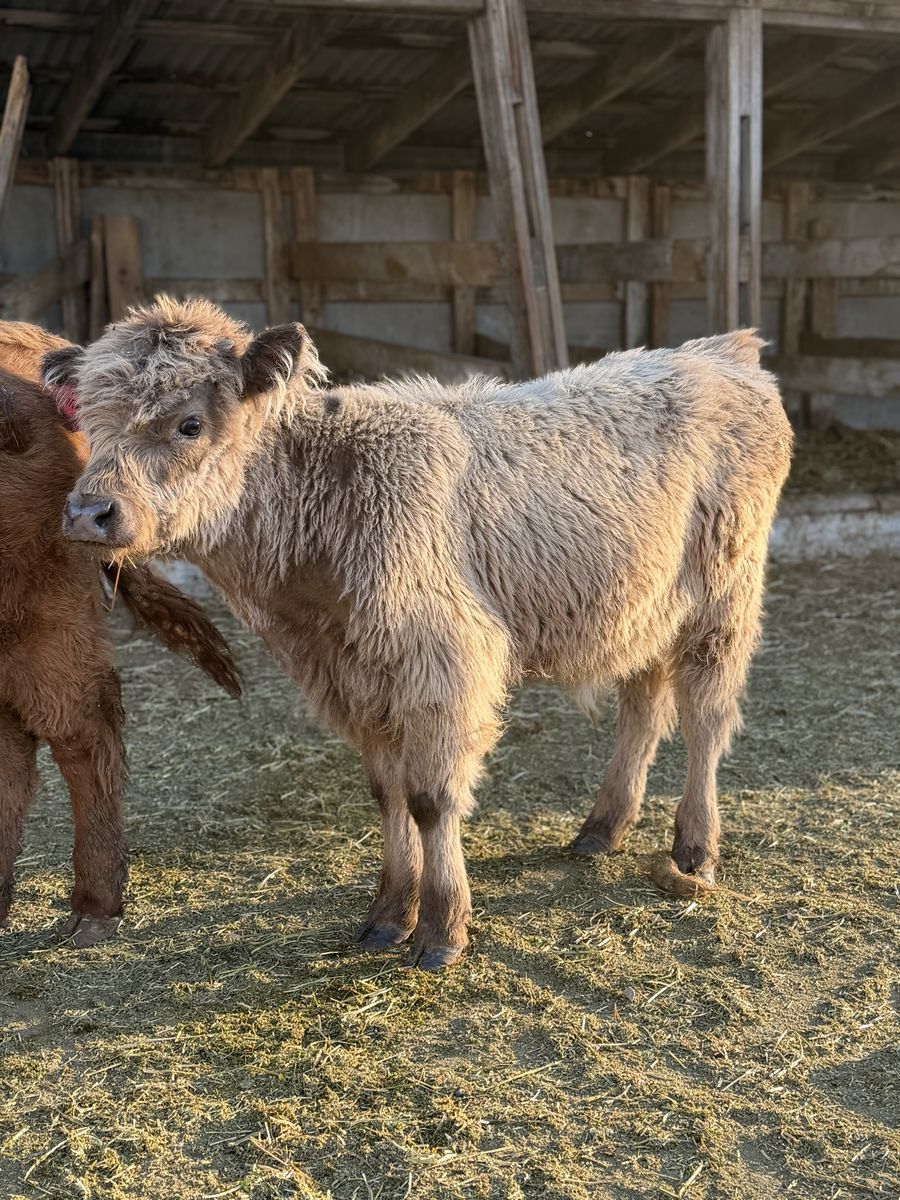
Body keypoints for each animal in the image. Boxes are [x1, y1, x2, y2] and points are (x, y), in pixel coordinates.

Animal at [47, 297, 793, 968]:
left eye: (190, 423)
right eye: (88, 421)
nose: (88, 512)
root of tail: (721, 352)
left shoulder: (441, 667)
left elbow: (432, 799)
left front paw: (441, 928)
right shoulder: (354, 677)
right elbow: (389, 794)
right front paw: (387, 913)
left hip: (724, 598)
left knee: (705, 719)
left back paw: (694, 850)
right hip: (642, 608)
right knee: (643, 705)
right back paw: (603, 827)